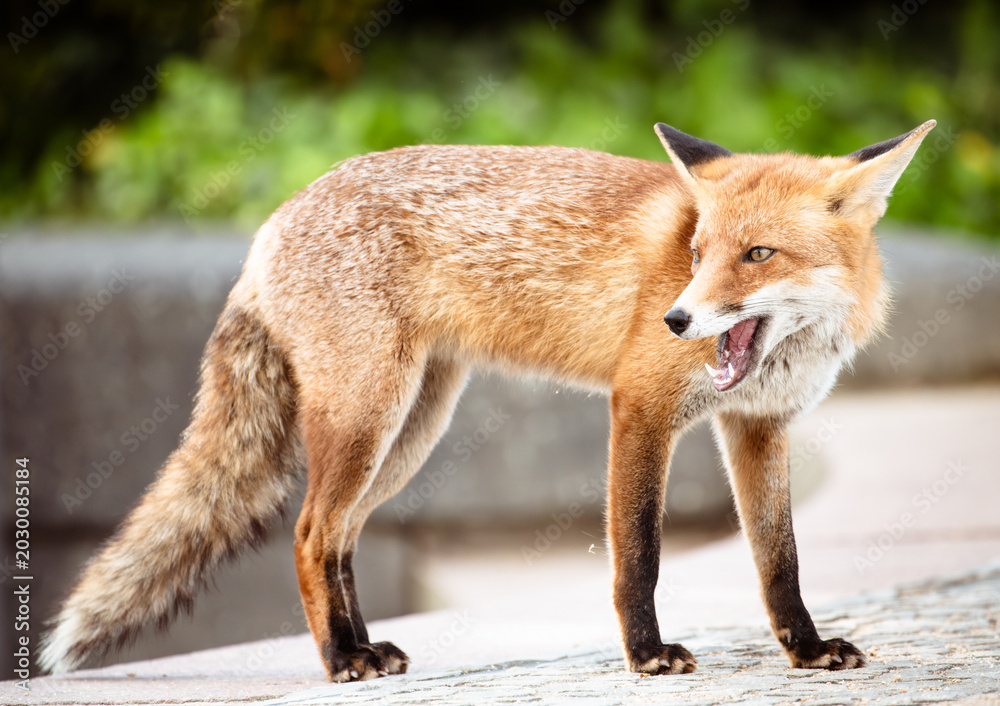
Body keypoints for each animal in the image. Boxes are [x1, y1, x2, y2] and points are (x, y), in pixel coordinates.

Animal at [39, 119, 936, 680]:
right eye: (696, 253)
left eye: (756, 255)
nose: (678, 319)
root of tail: (273, 222)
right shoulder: (639, 408)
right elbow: (639, 556)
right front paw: (647, 656)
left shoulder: (757, 428)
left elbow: (780, 561)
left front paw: (807, 652)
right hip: (370, 419)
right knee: (306, 533)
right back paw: (340, 662)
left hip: (410, 431)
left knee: (340, 538)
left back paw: (367, 650)